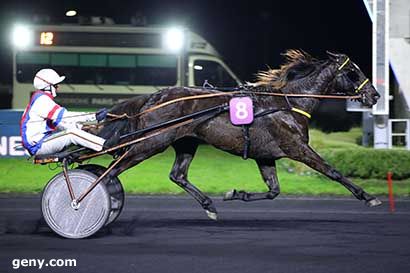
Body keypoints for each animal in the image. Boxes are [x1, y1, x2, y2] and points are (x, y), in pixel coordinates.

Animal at [98, 49, 382, 219]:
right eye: (353, 72)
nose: (375, 95)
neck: (290, 103)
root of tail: (154, 97)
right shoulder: (296, 147)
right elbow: (333, 171)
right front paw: (369, 197)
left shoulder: (266, 156)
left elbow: (273, 191)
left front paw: (234, 194)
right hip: (151, 142)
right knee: (113, 169)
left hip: (186, 142)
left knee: (177, 175)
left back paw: (209, 206)